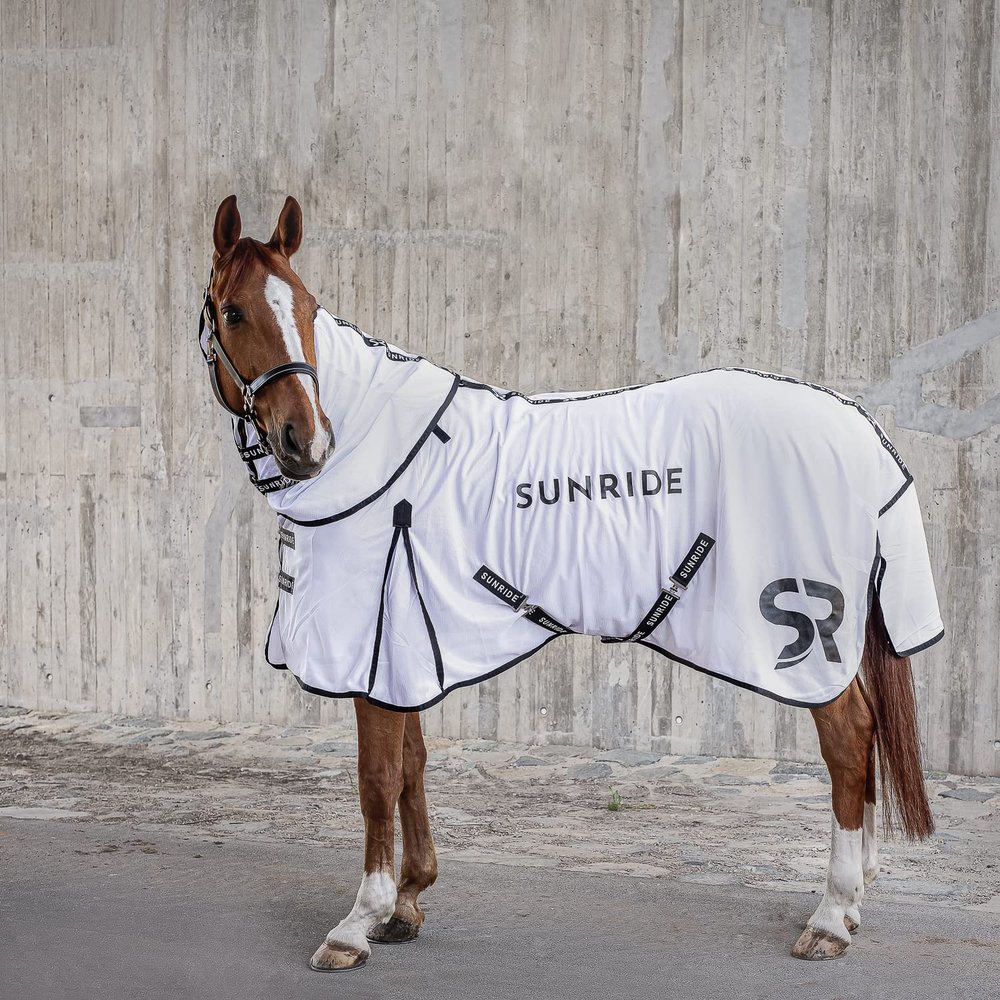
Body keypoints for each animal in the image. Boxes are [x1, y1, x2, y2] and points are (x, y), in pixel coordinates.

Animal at [199, 193, 940, 971]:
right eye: (234, 313)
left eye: (308, 308)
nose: (305, 441)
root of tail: (857, 427)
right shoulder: (401, 650)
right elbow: (411, 766)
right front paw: (406, 904)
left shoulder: (369, 651)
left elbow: (376, 780)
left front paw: (355, 924)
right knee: (867, 737)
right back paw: (854, 895)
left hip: (804, 634)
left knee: (849, 738)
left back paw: (831, 916)